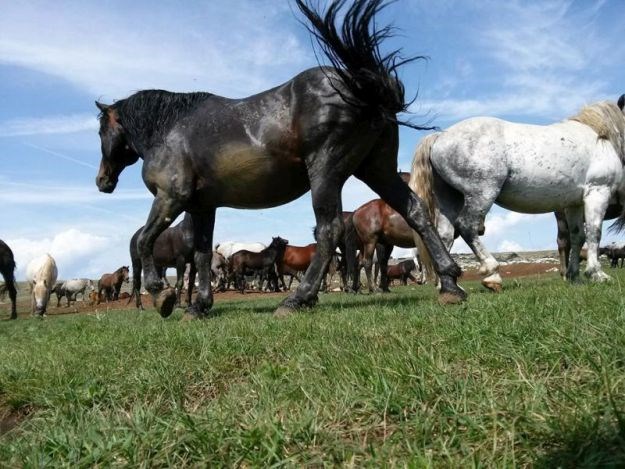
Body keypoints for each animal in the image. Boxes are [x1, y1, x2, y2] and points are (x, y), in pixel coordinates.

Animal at [92, 0, 464, 316]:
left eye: (100, 130)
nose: (102, 181)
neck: (172, 129)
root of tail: (361, 84)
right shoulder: (202, 207)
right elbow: (201, 255)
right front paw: (199, 306)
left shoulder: (171, 198)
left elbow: (145, 240)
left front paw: (163, 296)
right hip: (377, 170)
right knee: (415, 211)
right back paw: (450, 284)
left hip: (326, 173)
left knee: (328, 231)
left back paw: (298, 299)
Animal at [410, 94, 624, 288]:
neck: (601, 137)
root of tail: (439, 137)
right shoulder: (598, 192)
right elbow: (594, 233)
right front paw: (596, 274)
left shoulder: (574, 204)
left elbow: (578, 237)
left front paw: (574, 276)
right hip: (482, 193)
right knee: (466, 226)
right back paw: (492, 273)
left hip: (450, 199)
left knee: (444, 236)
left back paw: (448, 286)